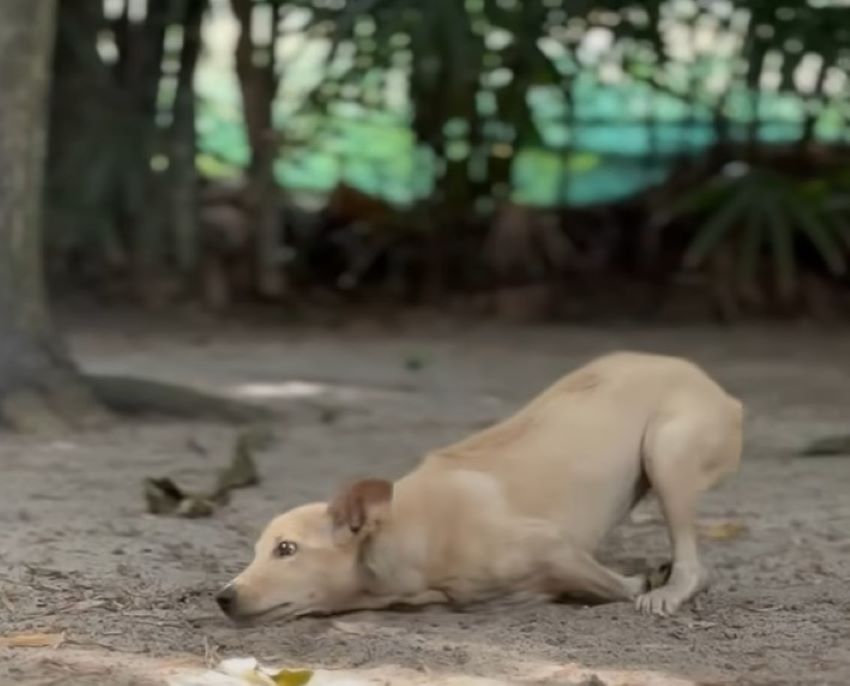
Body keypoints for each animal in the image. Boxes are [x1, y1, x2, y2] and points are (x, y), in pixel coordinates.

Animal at [217, 354, 744, 624]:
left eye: (286, 549)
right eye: (259, 549)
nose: (222, 597)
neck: (405, 530)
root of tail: (717, 388)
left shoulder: (554, 546)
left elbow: (616, 585)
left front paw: (639, 585)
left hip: (667, 452)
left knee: (695, 564)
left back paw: (670, 588)